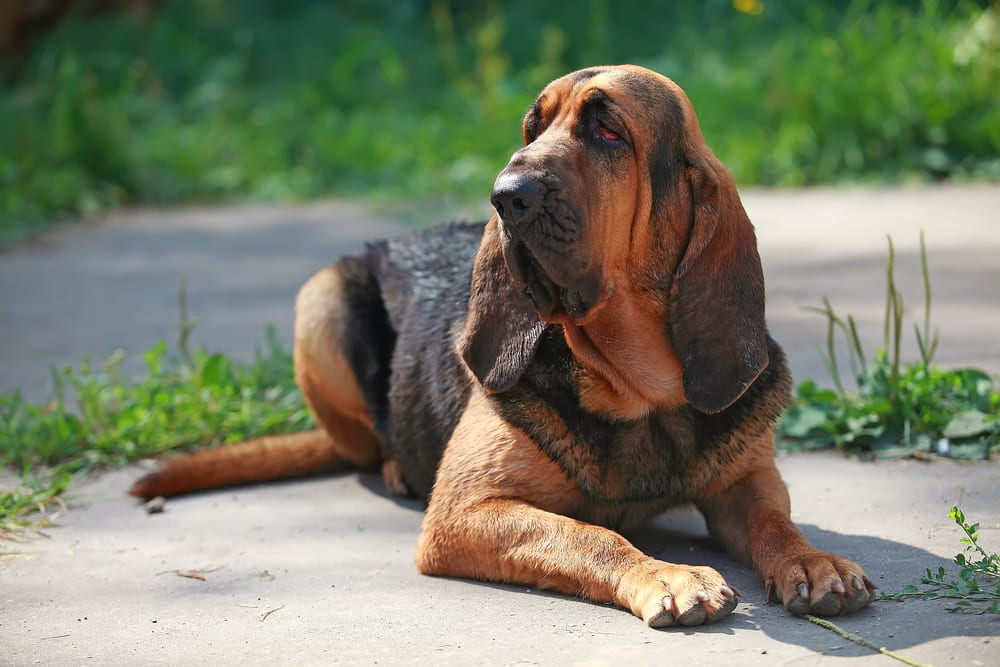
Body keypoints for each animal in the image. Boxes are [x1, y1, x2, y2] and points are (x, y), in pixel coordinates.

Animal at [131, 65, 876, 628]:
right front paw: (668, 575)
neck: (636, 389)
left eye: (609, 130)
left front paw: (814, 561)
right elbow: (591, 533)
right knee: (364, 443)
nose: (505, 194)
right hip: (319, 301)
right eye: (532, 129)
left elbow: (775, 522)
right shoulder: (467, 511)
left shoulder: (746, 479)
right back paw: (396, 465)